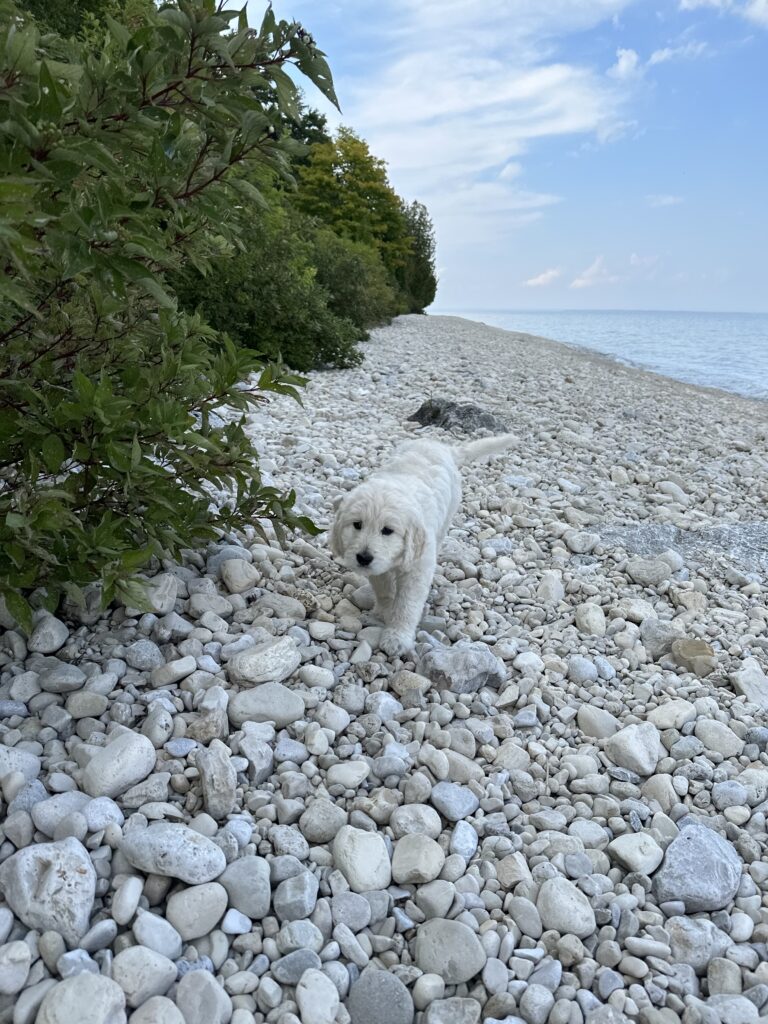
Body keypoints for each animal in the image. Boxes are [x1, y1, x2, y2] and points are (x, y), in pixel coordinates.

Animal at [329, 434, 516, 656]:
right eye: (357, 524)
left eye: (387, 530)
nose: (364, 558)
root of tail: (440, 446)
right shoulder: (379, 569)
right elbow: (384, 592)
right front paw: (384, 612)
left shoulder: (417, 568)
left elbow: (407, 605)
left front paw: (397, 637)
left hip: (447, 515)